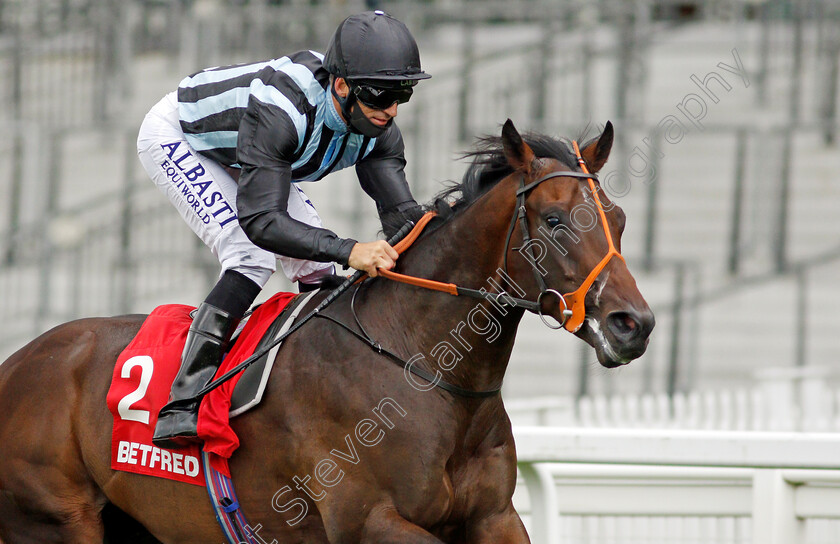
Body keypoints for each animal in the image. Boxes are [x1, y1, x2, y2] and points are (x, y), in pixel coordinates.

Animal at [0, 120, 652, 544]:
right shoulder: (368, 519)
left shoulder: (494, 517)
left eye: (619, 219)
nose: (634, 324)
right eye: (555, 219)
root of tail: (17, 364)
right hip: (54, 519)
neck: (421, 363)